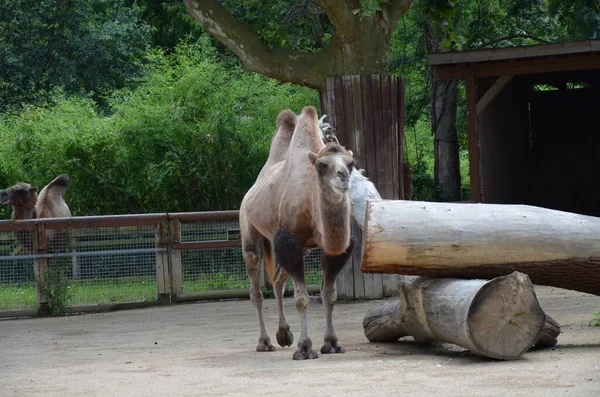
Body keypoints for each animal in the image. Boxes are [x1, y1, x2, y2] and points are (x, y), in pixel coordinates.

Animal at [239, 106, 354, 358]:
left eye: (351, 163)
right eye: (322, 165)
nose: (343, 176)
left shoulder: (332, 249)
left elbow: (329, 295)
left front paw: (331, 343)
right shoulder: (289, 241)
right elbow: (302, 298)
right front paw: (305, 347)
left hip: (297, 248)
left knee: (277, 281)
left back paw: (283, 334)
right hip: (250, 232)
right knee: (256, 290)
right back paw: (264, 342)